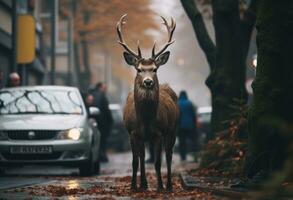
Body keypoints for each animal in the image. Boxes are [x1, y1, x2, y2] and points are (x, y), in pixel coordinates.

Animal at [116, 14, 178, 192]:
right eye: (139, 69)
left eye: (155, 69)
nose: (148, 81)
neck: (145, 119)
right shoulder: (132, 133)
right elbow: (135, 161)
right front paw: (133, 187)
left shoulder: (159, 133)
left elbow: (157, 162)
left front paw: (160, 187)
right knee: (143, 157)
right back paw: (143, 184)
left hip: (173, 129)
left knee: (169, 155)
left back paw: (169, 186)